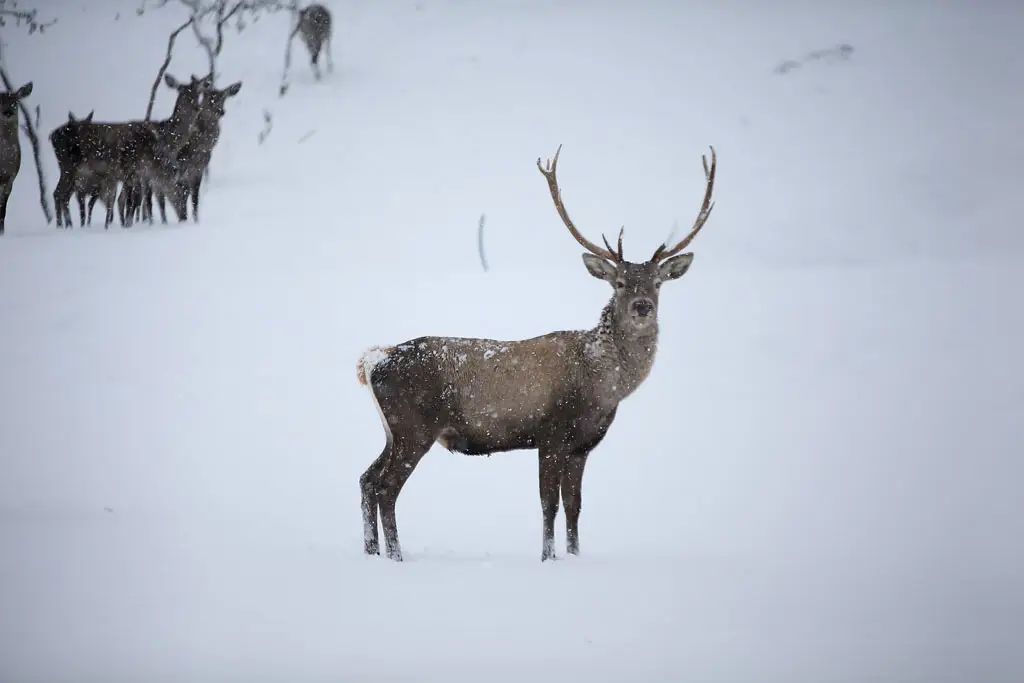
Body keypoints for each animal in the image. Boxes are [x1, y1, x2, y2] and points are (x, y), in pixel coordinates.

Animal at [356, 143, 716, 561]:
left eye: (658, 282)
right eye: (620, 282)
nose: (642, 307)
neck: (604, 385)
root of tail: (373, 361)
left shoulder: (583, 445)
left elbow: (575, 505)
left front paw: (574, 556)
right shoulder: (552, 434)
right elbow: (549, 503)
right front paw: (548, 557)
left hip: (392, 430)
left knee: (366, 479)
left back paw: (372, 552)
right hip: (414, 426)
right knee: (386, 488)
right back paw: (396, 557)